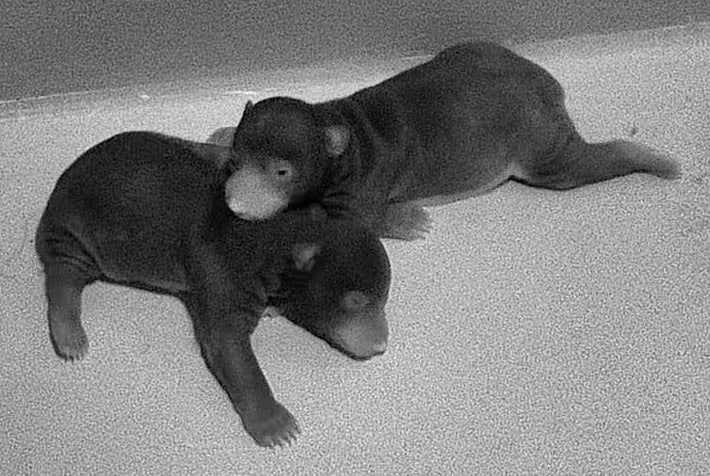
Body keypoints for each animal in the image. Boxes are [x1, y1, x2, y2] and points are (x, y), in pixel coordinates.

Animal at [35, 131, 391, 448]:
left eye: (383, 298)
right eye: (355, 301)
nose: (381, 346)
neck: (280, 232)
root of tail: (58, 190)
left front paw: (273, 306)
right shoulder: (221, 268)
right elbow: (227, 345)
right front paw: (275, 424)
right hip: (81, 235)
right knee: (63, 273)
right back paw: (69, 335)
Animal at [208, 41, 680, 240]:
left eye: (281, 172)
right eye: (235, 163)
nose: (235, 204)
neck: (335, 121)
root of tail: (544, 84)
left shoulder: (362, 182)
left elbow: (361, 220)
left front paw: (409, 221)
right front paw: (221, 132)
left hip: (540, 143)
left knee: (577, 164)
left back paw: (655, 159)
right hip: (476, 51)